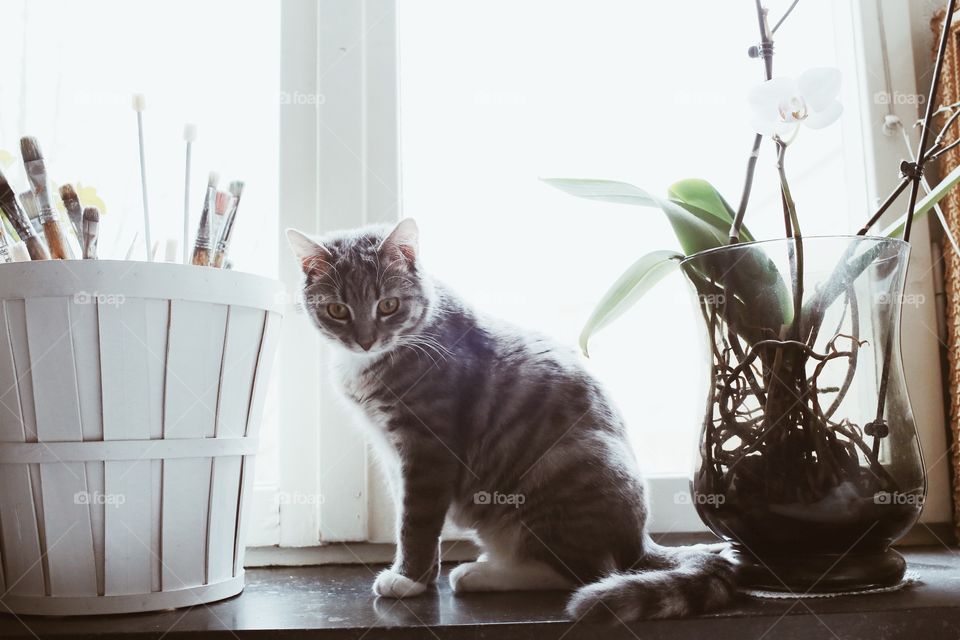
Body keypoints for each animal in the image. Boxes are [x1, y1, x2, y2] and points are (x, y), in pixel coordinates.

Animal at [284, 220, 736, 620]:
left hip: (560, 468)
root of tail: (640, 542)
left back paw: (481, 574)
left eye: (388, 305)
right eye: (337, 310)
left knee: (584, 573)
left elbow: (417, 520)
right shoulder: (392, 454)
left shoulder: (428, 449)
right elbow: (405, 514)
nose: (364, 340)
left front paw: (408, 579)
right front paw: (419, 574)